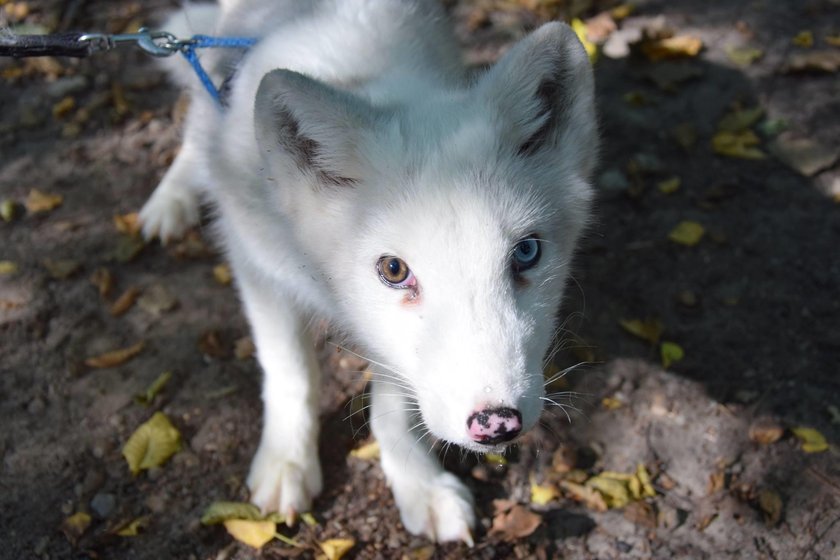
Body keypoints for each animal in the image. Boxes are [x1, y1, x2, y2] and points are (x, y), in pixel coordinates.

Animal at [139, 0, 596, 544]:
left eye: (526, 253)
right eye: (394, 270)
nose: (497, 423)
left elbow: (393, 406)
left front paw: (417, 483)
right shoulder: (257, 265)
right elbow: (290, 372)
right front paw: (286, 462)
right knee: (195, 120)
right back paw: (172, 198)